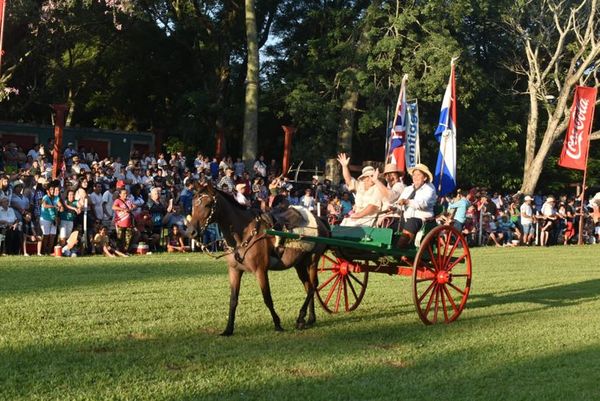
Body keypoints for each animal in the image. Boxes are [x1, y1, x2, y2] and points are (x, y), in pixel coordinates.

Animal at [188, 181, 328, 334]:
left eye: (207, 205)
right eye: (193, 203)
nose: (191, 231)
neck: (244, 234)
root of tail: (320, 220)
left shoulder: (260, 270)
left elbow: (267, 298)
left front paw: (277, 324)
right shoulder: (234, 270)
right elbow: (233, 300)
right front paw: (228, 329)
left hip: (312, 260)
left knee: (313, 286)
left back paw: (302, 316)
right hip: (300, 264)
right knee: (308, 286)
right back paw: (308, 319)